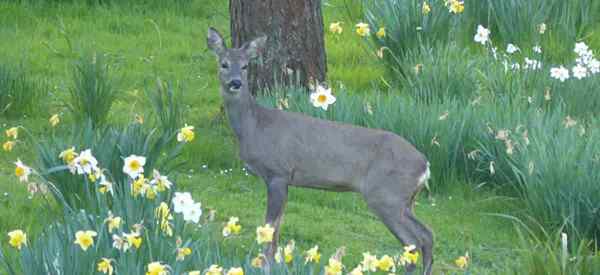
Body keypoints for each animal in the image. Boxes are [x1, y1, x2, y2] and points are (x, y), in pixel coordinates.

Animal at [209, 27, 434, 275]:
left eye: (246, 65)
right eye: (224, 64)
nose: (235, 82)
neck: (255, 126)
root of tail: (425, 165)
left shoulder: (278, 173)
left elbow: (269, 230)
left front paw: (265, 266)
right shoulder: (285, 180)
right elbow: (277, 230)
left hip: (385, 195)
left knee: (413, 241)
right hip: (405, 200)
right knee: (427, 235)